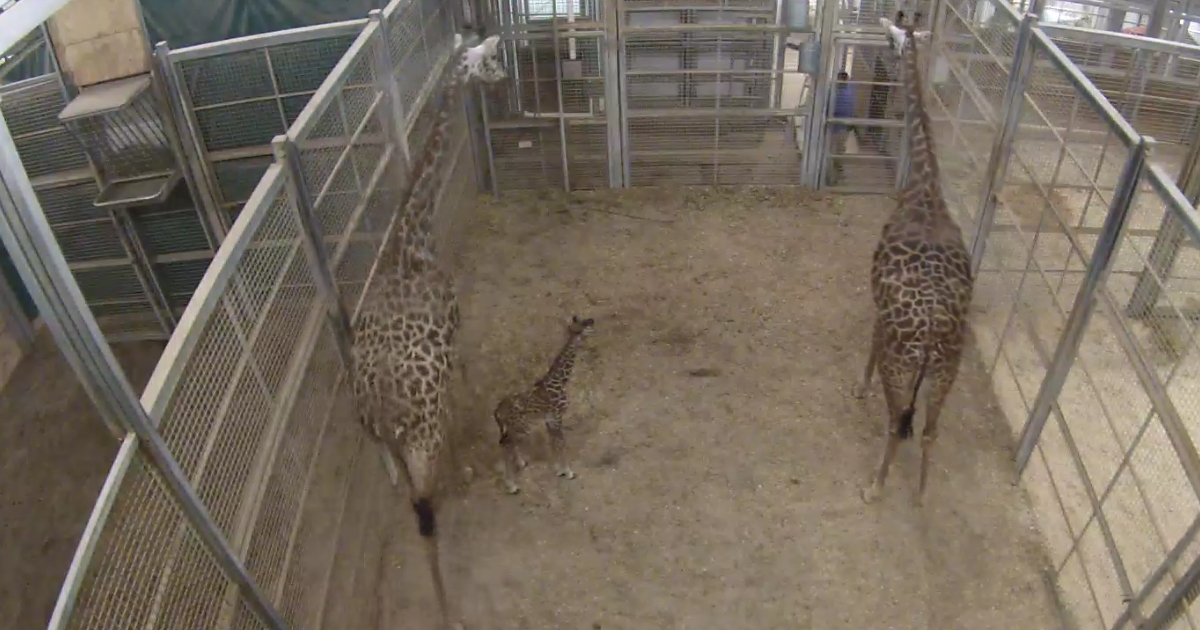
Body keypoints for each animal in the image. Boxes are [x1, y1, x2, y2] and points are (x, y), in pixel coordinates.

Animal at [350, 32, 506, 628]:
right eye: (489, 60)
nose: (503, 78)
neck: (412, 244)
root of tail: (383, 412)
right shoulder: (455, 326)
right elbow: (461, 379)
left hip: (387, 448)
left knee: (411, 507)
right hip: (418, 443)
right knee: (425, 515)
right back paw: (448, 612)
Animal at [493, 315, 595, 494]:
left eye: (582, 320)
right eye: (583, 325)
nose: (593, 320)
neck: (559, 382)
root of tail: (497, 412)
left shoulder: (549, 419)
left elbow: (554, 443)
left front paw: (558, 470)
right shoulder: (557, 416)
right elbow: (561, 443)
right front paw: (568, 472)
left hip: (512, 429)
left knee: (506, 445)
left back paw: (521, 464)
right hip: (522, 427)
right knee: (507, 447)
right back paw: (512, 486)